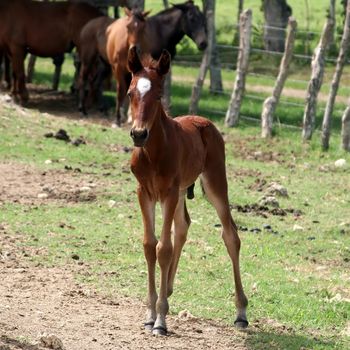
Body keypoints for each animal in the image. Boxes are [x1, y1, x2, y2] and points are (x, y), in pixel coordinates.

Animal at [127, 45, 247, 334]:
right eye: (130, 93)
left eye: (159, 95)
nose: (138, 134)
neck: (153, 152)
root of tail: (205, 121)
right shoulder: (144, 192)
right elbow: (150, 245)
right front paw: (150, 314)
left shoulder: (168, 192)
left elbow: (164, 248)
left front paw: (160, 321)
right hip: (182, 191)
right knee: (183, 226)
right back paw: (168, 290)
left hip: (214, 183)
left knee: (231, 234)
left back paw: (241, 312)